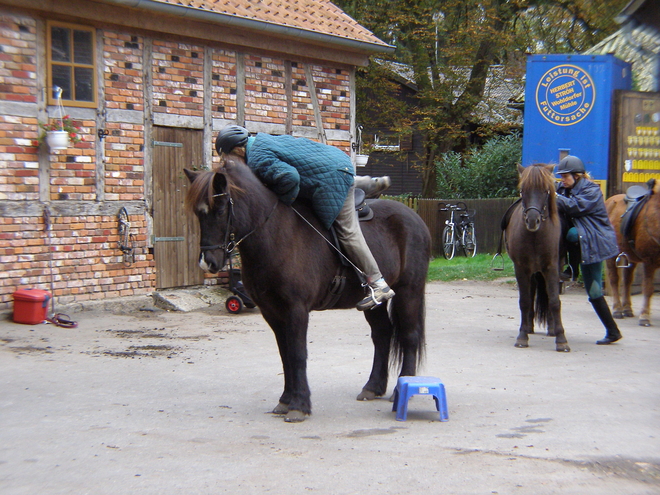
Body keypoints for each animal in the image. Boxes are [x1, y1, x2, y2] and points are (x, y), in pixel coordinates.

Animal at [506, 165, 568, 350]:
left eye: (545, 191)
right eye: (523, 190)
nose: (532, 221)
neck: (535, 236)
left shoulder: (552, 267)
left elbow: (554, 301)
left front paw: (561, 339)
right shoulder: (521, 268)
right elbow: (525, 301)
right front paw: (522, 336)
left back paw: (552, 328)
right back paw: (528, 327)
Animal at [604, 180, 660, 328]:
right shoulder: (649, 261)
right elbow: (648, 288)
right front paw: (644, 317)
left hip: (631, 256)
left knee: (627, 280)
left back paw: (627, 308)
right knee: (614, 280)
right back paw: (617, 309)